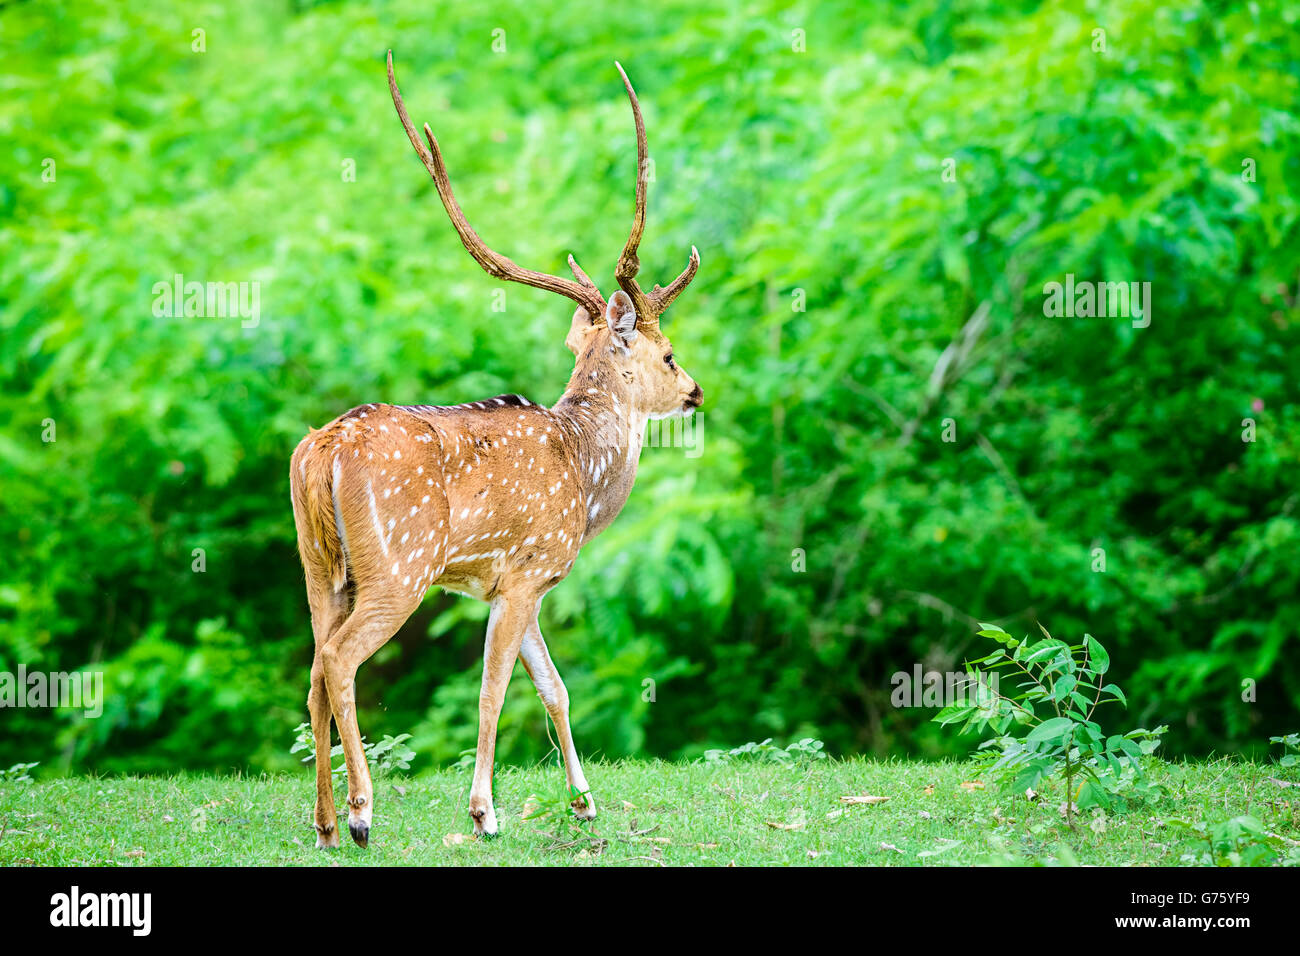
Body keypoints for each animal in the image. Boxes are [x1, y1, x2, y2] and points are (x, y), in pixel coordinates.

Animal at [289, 52, 707, 848]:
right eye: (668, 354)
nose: (697, 391)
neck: (584, 477)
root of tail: (321, 452)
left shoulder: (523, 581)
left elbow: (555, 688)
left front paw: (584, 802)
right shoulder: (526, 570)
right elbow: (493, 692)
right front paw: (484, 812)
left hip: (320, 565)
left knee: (314, 665)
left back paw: (323, 823)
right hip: (399, 566)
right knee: (340, 659)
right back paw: (359, 814)